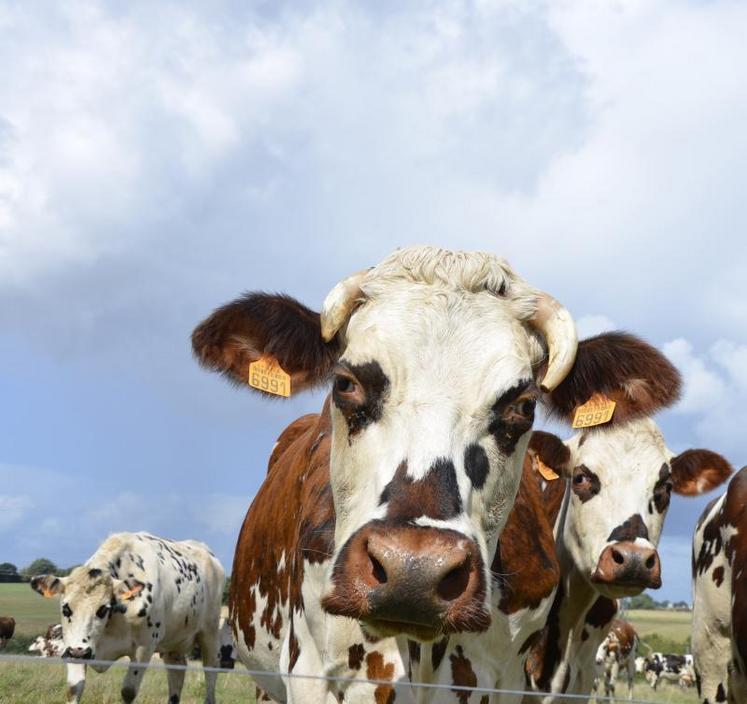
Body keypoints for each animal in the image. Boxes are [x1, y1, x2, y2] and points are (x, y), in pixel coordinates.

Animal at [30, 532, 224, 704]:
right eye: (66, 608)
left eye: (103, 609)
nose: (80, 652)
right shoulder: (74, 646)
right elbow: (74, 689)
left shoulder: (144, 648)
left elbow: (128, 691)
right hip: (174, 643)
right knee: (177, 672)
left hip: (210, 634)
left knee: (210, 674)